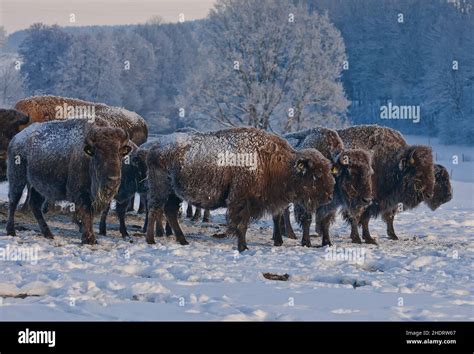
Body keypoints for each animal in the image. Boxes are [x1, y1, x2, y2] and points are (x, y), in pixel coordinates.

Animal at [6, 117, 131, 245]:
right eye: (99, 153)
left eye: (120, 153)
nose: (113, 179)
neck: (87, 156)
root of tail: (16, 138)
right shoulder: (80, 194)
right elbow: (86, 214)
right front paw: (89, 239)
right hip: (17, 178)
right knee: (13, 201)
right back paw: (11, 231)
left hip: (38, 186)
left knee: (34, 204)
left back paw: (48, 234)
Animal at [146, 127, 336, 252]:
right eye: (317, 174)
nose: (329, 195)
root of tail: (155, 147)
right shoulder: (241, 201)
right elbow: (241, 225)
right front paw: (243, 247)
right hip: (161, 189)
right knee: (155, 210)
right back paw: (151, 240)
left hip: (174, 193)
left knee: (169, 212)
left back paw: (183, 240)